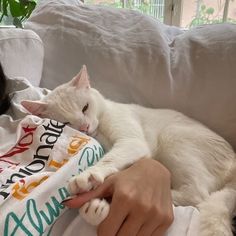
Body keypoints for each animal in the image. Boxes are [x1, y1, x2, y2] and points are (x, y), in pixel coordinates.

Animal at [20, 65, 236, 235]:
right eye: (65, 123)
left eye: (85, 107)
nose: (84, 128)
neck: (100, 130)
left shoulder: (131, 141)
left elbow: (109, 158)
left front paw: (88, 177)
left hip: (173, 138)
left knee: (198, 195)